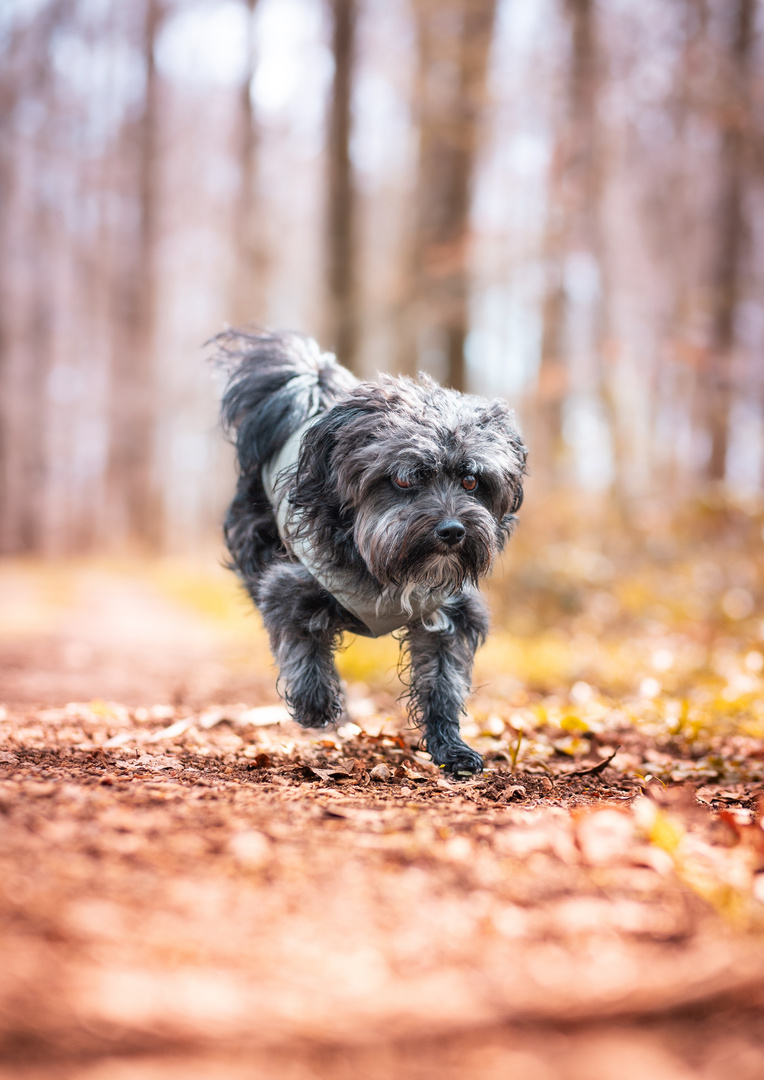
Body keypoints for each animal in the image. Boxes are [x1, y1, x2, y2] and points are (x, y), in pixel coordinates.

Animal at [215, 330, 525, 777]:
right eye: (404, 479)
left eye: (471, 481)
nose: (452, 531)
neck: (385, 568)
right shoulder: (289, 586)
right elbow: (300, 645)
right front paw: (316, 704)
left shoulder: (447, 614)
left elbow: (443, 684)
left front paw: (451, 748)